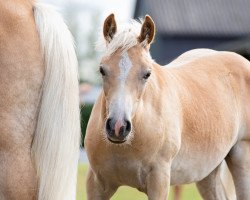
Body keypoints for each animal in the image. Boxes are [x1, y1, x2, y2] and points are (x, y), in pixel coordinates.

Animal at [85, 13, 249, 199]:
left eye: (147, 73)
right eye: (102, 70)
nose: (118, 127)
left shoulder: (159, 181)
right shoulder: (96, 185)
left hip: (241, 155)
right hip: (207, 174)